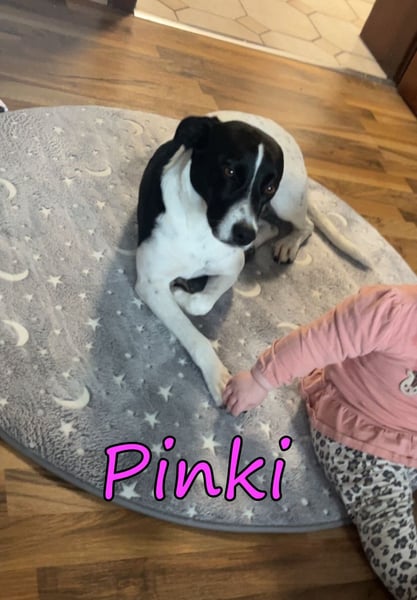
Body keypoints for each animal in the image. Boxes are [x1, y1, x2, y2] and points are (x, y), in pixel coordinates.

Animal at [135, 115, 285, 405]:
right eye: (229, 171)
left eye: (270, 187)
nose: (244, 234)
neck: (201, 227)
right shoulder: (151, 285)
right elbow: (193, 334)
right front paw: (216, 374)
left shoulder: (232, 267)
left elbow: (202, 305)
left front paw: (183, 295)